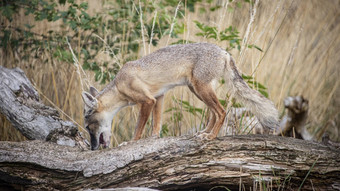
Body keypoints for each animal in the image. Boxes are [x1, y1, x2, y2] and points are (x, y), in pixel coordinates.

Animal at [82, 42, 278, 150]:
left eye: (88, 128)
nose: (92, 148)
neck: (118, 85)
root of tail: (223, 51)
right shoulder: (158, 97)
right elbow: (156, 125)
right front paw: (153, 139)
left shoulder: (147, 101)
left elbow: (138, 128)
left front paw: (130, 143)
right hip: (198, 90)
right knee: (214, 113)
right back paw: (205, 132)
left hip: (201, 89)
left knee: (222, 111)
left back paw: (211, 137)